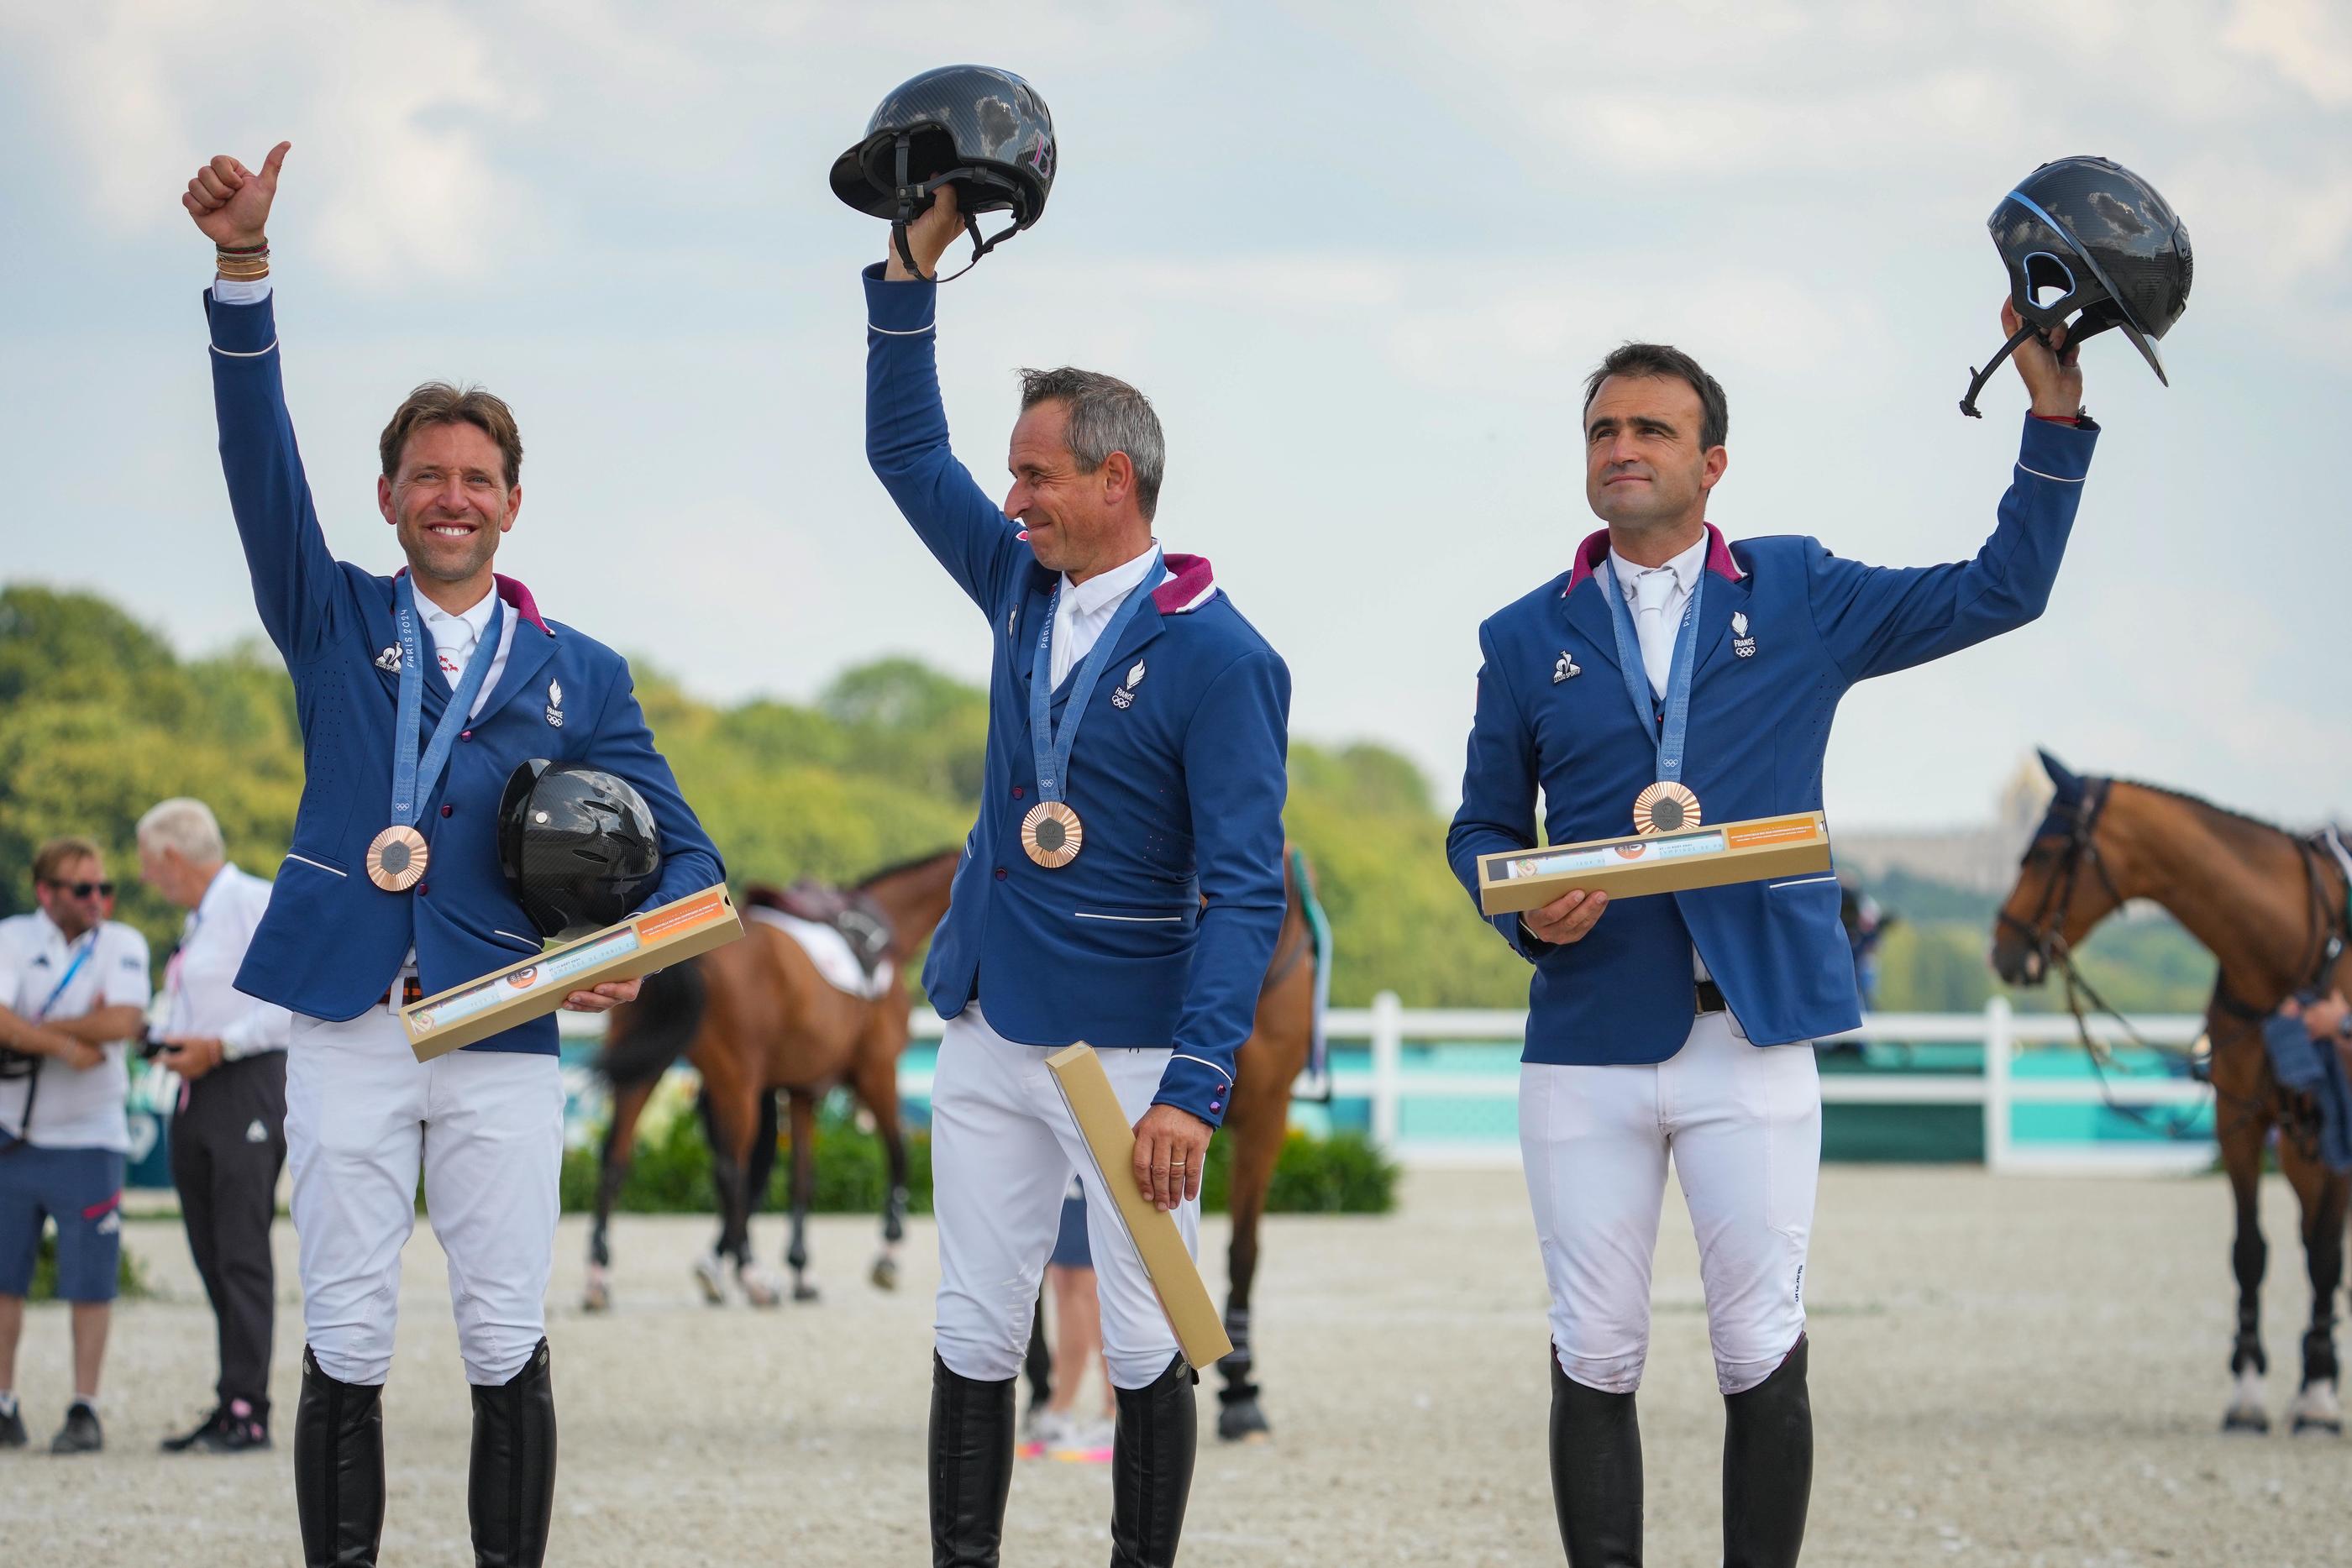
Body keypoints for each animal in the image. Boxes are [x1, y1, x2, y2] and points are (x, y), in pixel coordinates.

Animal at [585, 851, 954, 1307]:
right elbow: (898, 1153)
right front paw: (887, 1254)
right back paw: (752, 1275)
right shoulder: (876, 1070)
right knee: (731, 1169)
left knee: (614, 1158)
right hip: (735, 1077)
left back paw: (599, 1275)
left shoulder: (799, 1089)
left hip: (647, 1065)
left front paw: (797, 1269)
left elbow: (800, 1177)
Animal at [1985, 752, 2352, 1439]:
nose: (2003, 948)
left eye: (2044, 851)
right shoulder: (2241, 1119)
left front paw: (2317, 1397)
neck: (2292, 946)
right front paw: (2248, 1392)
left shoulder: (2339, 1124)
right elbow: (2250, 1252)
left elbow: (2321, 1255)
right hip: (2296, 1146)